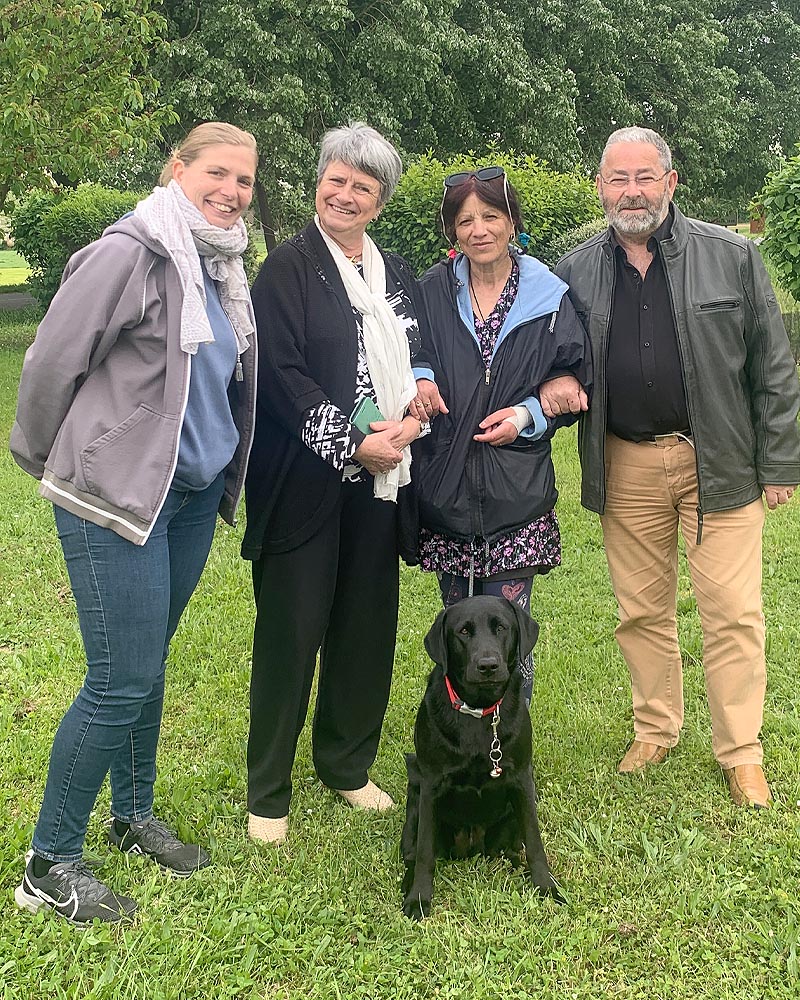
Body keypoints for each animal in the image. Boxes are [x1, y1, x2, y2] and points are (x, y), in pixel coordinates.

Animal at [400, 592, 564, 920]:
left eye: (501, 627)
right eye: (463, 631)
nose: (488, 665)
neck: (478, 711)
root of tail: (472, 847)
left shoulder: (522, 779)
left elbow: (535, 841)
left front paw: (546, 885)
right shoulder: (431, 785)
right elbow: (425, 851)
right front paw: (419, 898)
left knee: (514, 848)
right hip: (415, 787)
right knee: (412, 850)